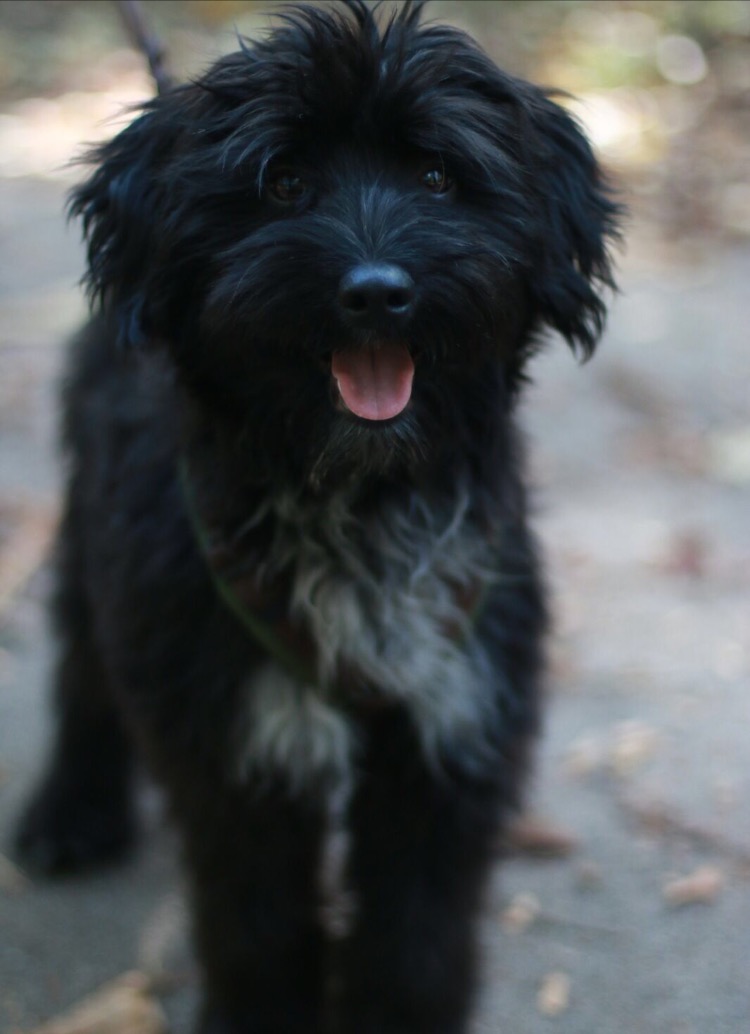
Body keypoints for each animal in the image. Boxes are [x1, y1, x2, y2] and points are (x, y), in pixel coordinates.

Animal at [16, 2, 620, 1031]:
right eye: (284, 182)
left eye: (437, 174)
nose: (377, 292)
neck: (355, 495)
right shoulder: (235, 748)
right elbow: (256, 926)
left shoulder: (450, 733)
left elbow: (415, 935)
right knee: (82, 668)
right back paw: (70, 809)